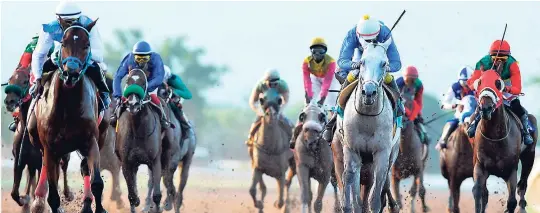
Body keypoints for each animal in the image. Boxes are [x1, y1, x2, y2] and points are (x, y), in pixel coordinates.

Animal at [3, 66, 75, 210]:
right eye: (10, 80)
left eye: (25, 81)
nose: (9, 101)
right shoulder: (20, 159)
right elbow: (14, 192)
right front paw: (25, 199)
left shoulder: (44, 159)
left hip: (62, 154)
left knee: (64, 168)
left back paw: (67, 193)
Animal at [27, 18, 108, 213]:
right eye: (63, 43)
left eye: (87, 45)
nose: (71, 72)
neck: (68, 108)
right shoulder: (50, 148)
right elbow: (53, 194)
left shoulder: (91, 141)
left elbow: (96, 182)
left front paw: (98, 207)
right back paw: (38, 200)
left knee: (85, 168)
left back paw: (86, 203)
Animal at [114, 68, 163, 213]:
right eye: (128, 81)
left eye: (142, 83)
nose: (133, 104)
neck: (137, 131)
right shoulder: (126, 162)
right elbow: (131, 195)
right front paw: (136, 201)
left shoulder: (155, 160)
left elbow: (156, 194)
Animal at [472, 69, 536, 212]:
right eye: (479, 82)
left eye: (498, 83)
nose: (485, 108)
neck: (495, 138)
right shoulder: (480, 166)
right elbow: (478, 193)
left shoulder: (511, 170)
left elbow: (511, 201)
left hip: (529, 156)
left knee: (522, 185)